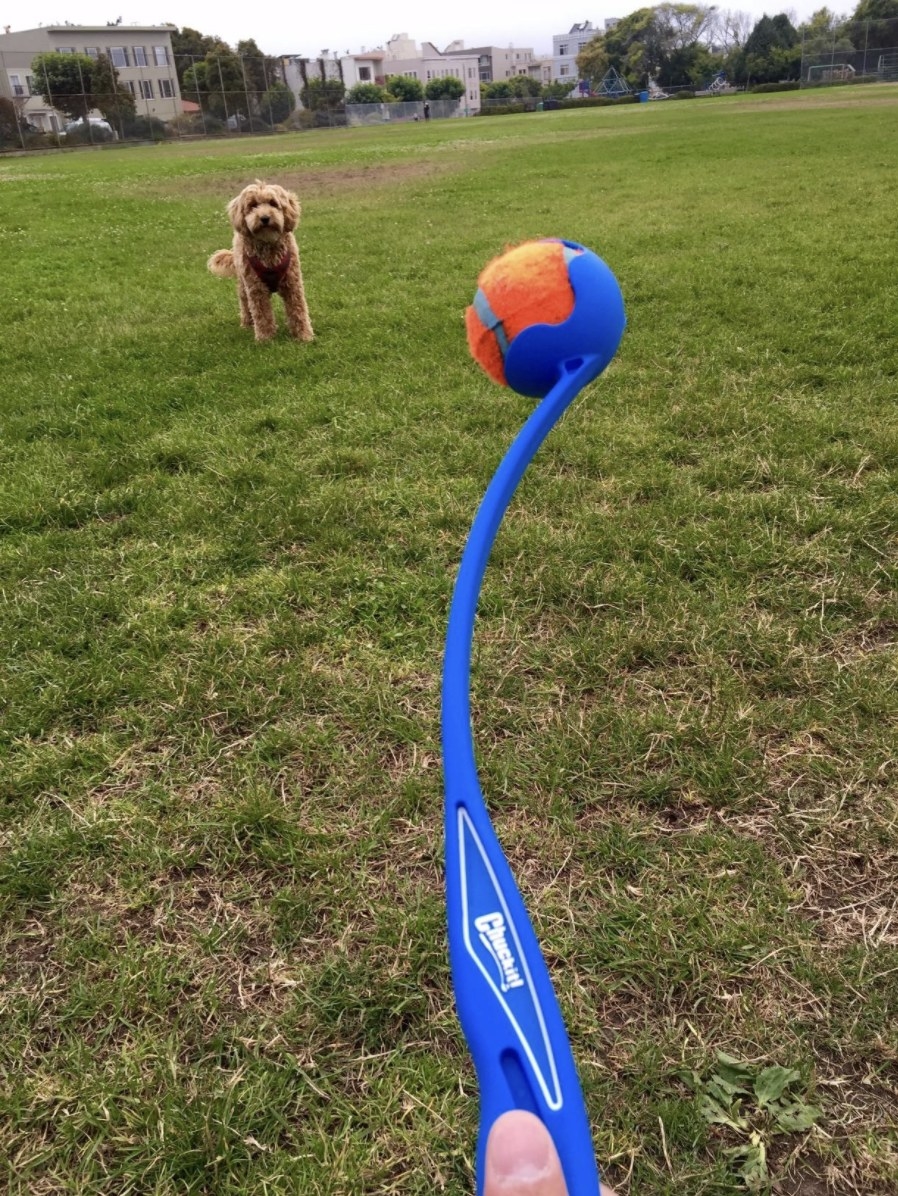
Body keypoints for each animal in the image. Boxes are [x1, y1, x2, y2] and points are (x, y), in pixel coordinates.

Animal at [209, 179, 313, 344]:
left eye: (273, 203)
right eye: (253, 205)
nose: (264, 218)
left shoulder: (293, 283)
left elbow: (298, 310)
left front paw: (304, 335)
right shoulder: (255, 288)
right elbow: (262, 315)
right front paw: (265, 339)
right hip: (243, 283)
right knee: (244, 303)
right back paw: (246, 323)